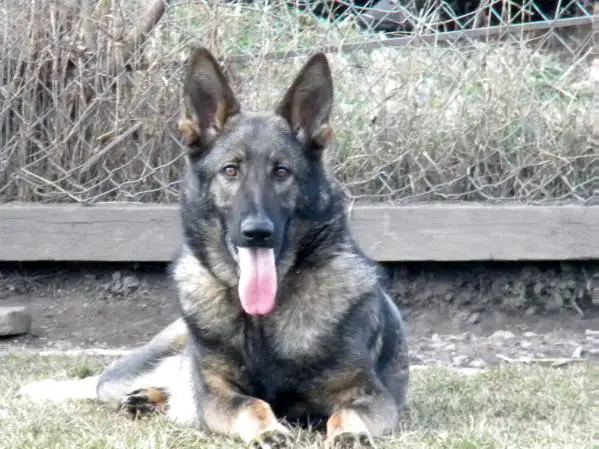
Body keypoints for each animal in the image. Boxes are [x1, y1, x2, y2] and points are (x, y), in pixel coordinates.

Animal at [19, 47, 412, 446]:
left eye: (282, 172)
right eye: (230, 170)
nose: (257, 232)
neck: (262, 321)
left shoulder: (370, 394)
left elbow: (345, 412)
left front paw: (350, 433)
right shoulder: (216, 394)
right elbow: (251, 404)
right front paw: (269, 430)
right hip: (138, 368)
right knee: (104, 383)